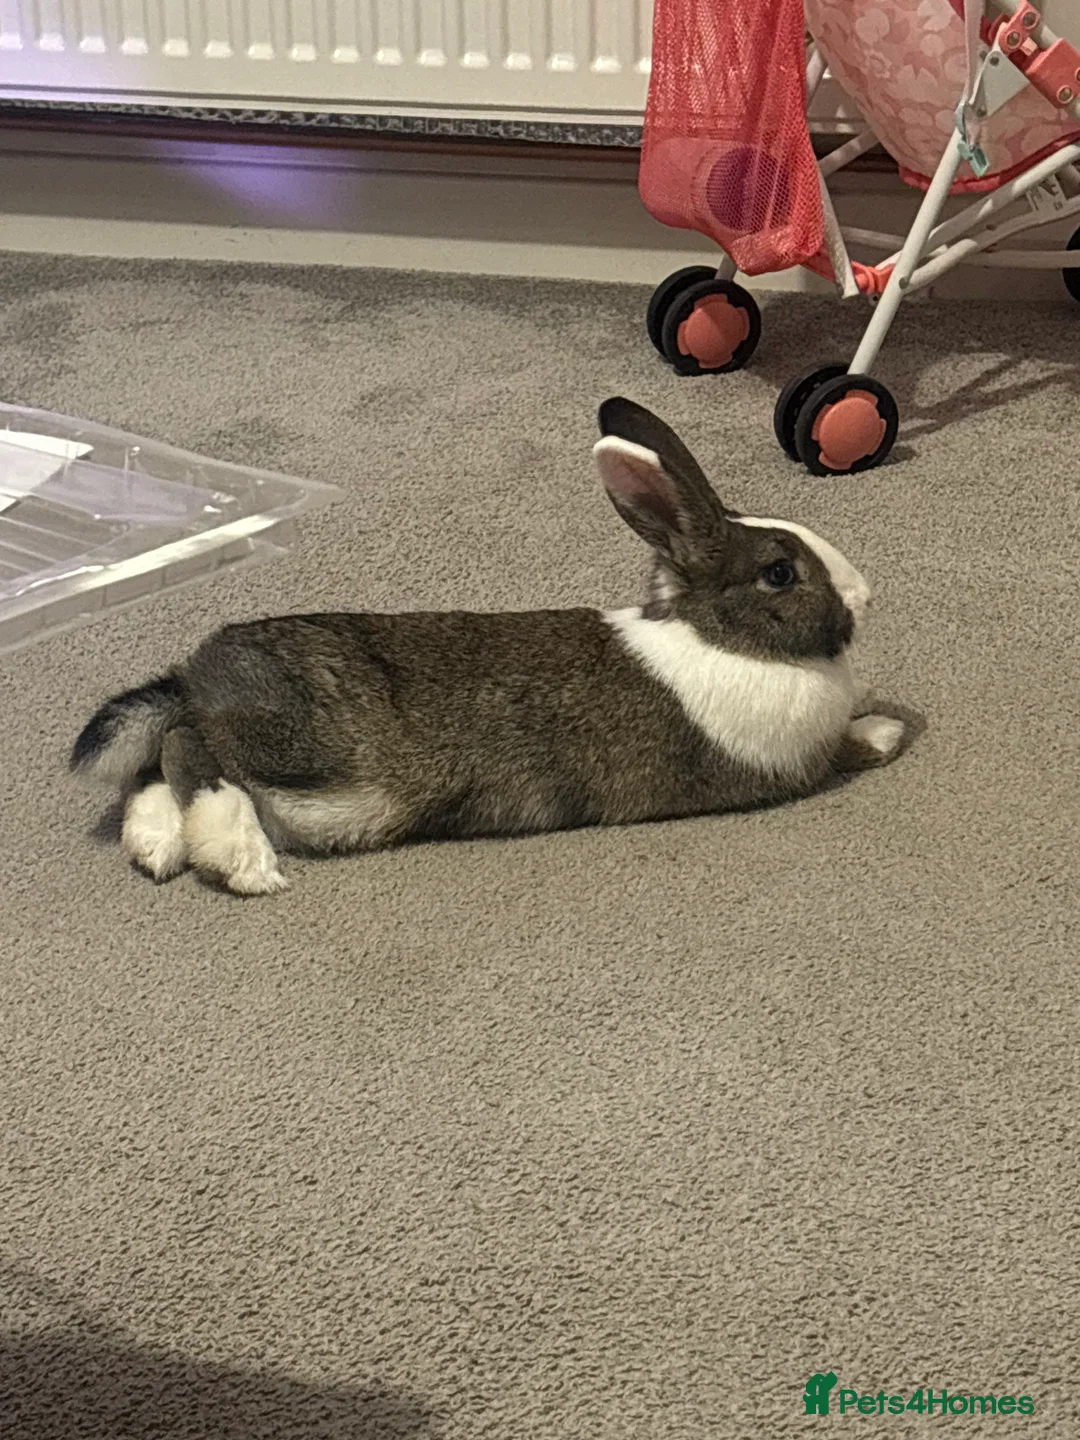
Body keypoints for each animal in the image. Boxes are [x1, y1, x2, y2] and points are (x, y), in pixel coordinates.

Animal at [70, 398, 905, 896]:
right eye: (779, 573)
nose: (866, 595)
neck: (720, 638)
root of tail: (196, 673)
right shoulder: (785, 760)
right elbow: (845, 750)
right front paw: (888, 732)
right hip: (306, 754)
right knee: (187, 747)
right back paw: (237, 856)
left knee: (154, 764)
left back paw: (156, 848)